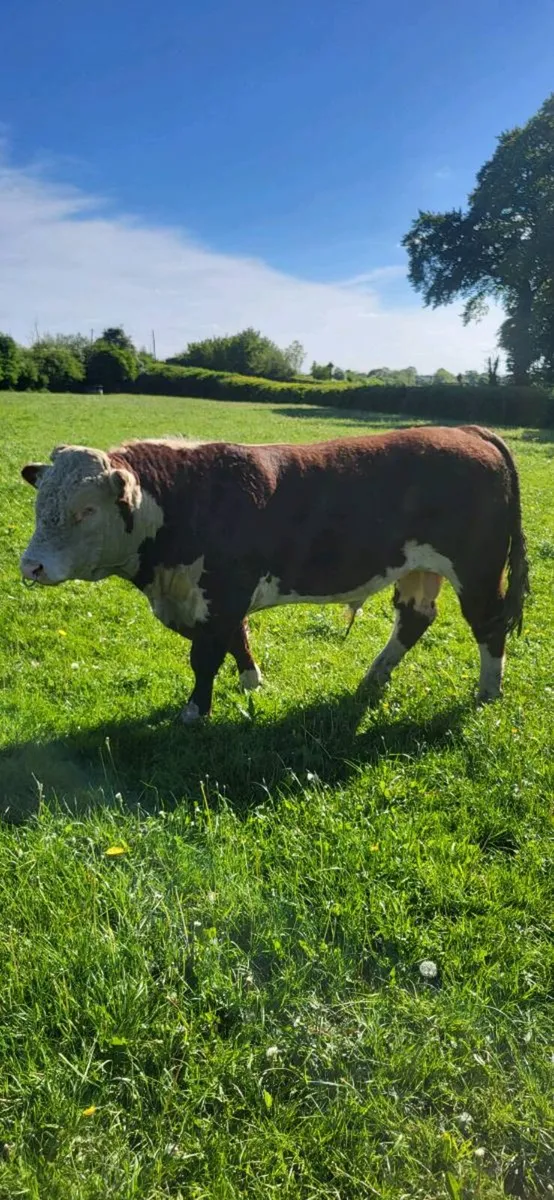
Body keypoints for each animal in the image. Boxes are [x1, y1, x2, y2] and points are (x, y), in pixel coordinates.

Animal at [20, 425, 529, 723]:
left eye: (86, 510)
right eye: (40, 501)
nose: (31, 565)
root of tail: (468, 430)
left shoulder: (223, 590)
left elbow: (206, 656)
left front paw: (195, 712)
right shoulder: (210, 598)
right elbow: (235, 640)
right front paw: (252, 683)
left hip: (477, 568)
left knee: (487, 625)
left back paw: (488, 692)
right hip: (419, 567)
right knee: (415, 617)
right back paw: (374, 676)